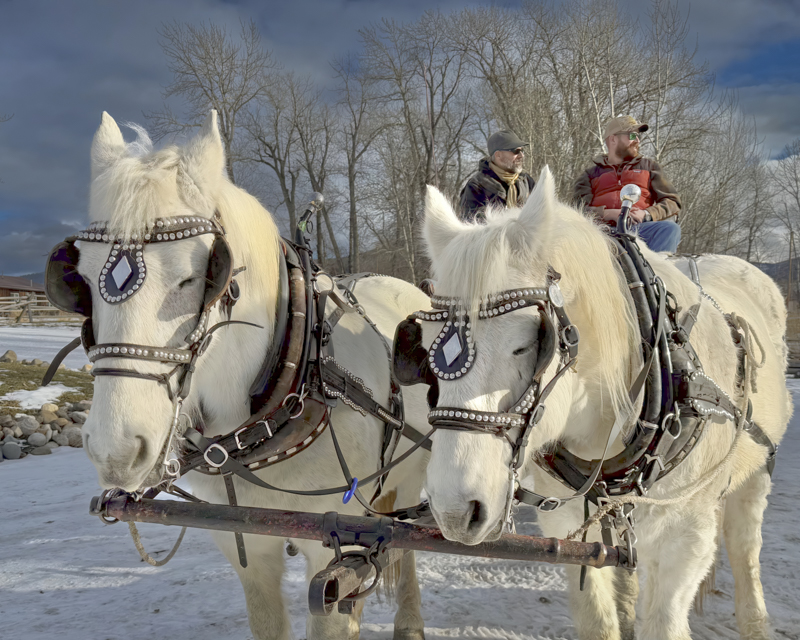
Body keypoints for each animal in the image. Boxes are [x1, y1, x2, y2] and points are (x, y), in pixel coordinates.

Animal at [77, 112, 432, 640]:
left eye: (198, 276)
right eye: (79, 276)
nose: (115, 450)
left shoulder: (336, 553)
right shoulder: (246, 545)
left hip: (407, 479)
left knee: (404, 544)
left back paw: (409, 622)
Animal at [418, 171, 788, 640]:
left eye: (529, 343)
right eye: (426, 345)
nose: (453, 511)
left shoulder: (684, 540)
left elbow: (665, 621)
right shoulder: (568, 526)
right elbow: (598, 618)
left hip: (756, 470)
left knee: (744, 549)